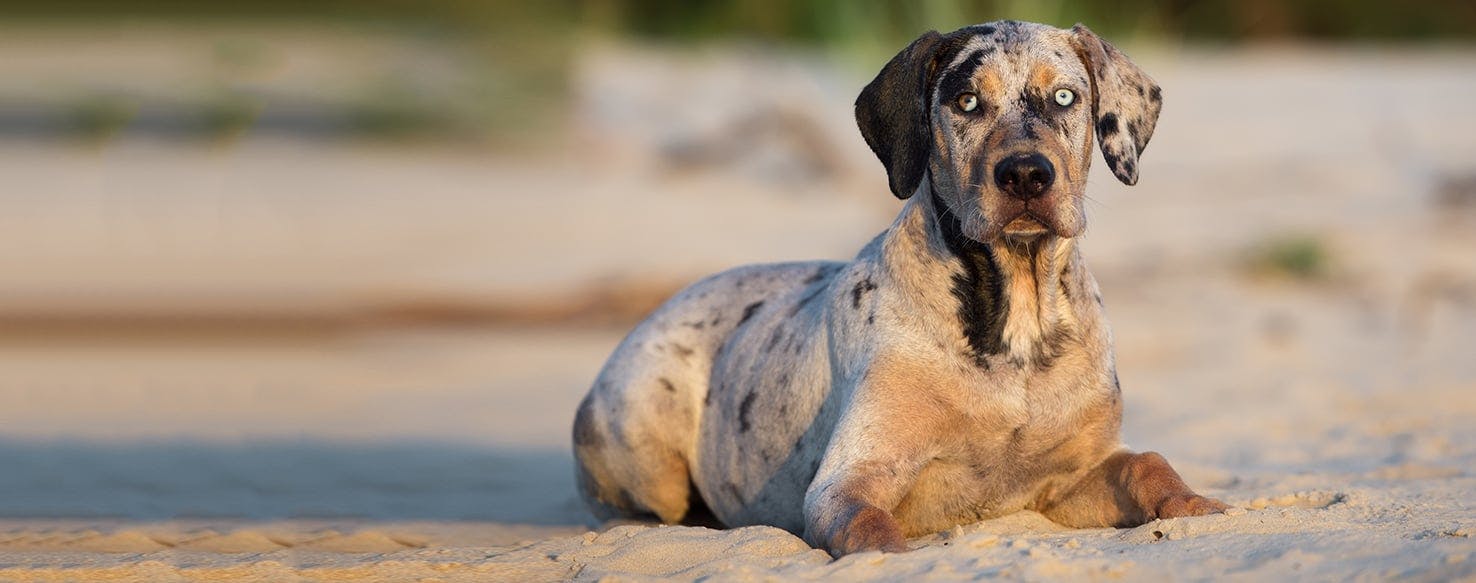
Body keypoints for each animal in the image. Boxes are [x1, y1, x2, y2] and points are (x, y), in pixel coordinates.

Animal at [569, 19, 1228, 557]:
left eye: (1065, 97)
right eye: (966, 102)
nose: (1025, 174)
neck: (1016, 322)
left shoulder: (1074, 474)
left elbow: (1148, 465)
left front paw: (1200, 507)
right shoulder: (847, 481)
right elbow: (870, 527)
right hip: (643, 434)